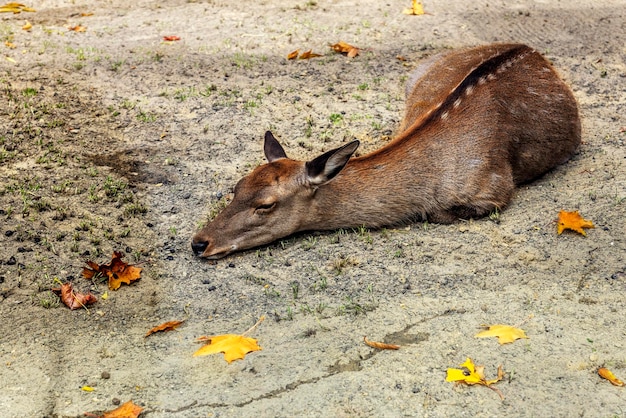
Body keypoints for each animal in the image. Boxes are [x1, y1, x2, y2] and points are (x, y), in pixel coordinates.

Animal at [191, 42, 580, 258]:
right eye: (236, 187)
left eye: (266, 205)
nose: (198, 242)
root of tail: (535, 53)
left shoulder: (494, 188)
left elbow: (440, 214)